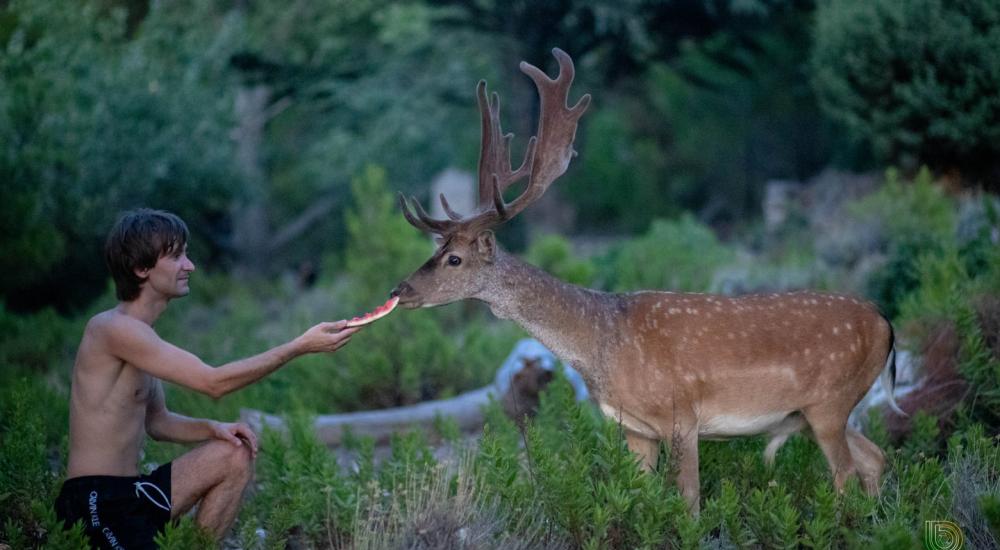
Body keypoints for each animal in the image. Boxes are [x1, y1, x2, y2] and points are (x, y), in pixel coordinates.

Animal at [388, 47, 900, 512]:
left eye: (454, 259)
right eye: (435, 250)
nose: (400, 290)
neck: (602, 343)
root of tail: (886, 324)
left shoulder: (683, 415)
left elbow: (689, 503)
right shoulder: (635, 428)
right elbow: (641, 497)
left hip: (830, 401)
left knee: (846, 474)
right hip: (824, 411)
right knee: (875, 458)